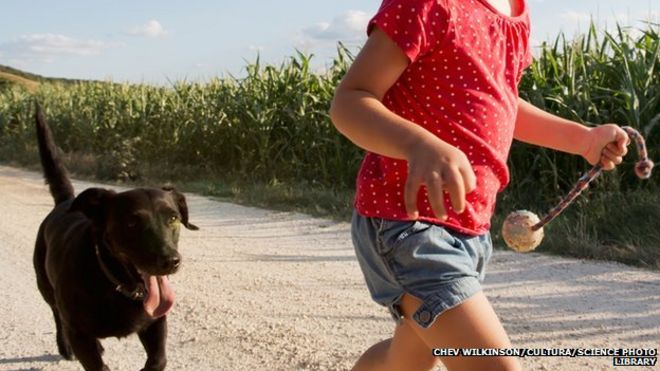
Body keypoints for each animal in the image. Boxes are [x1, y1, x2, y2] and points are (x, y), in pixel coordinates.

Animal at [33, 105, 197, 371]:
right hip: (45, 285)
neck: (117, 284)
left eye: (173, 218)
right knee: (57, 314)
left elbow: (158, 359)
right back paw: (65, 346)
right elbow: (97, 365)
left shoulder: (155, 322)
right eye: (131, 223)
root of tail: (66, 201)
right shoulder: (79, 333)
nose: (171, 261)